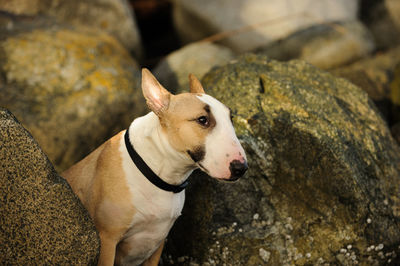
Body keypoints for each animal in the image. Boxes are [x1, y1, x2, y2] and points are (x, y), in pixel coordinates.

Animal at [63, 69, 247, 266]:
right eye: (202, 120)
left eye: (231, 118)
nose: (241, 168)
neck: (158, 173)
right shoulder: (107, 240)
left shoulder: (157, 245)